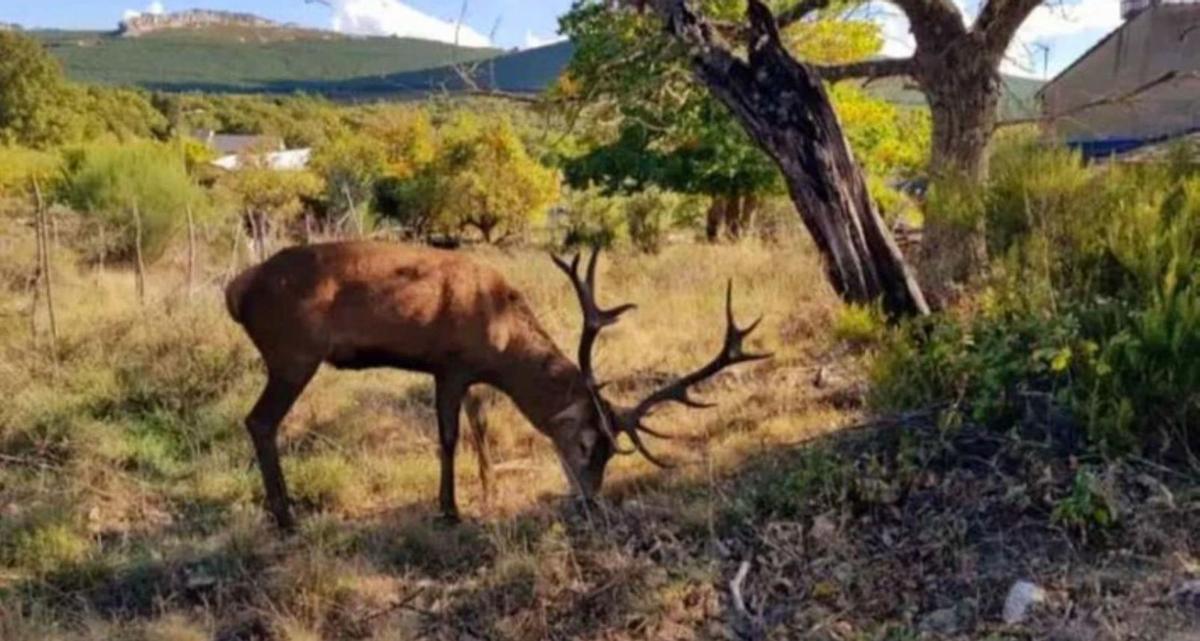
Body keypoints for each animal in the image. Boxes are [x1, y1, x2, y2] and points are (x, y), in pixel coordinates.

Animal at [225, 241, 768, 532]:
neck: (502, 339)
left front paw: (487, 489)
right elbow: (449, 437)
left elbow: (479, 427)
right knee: (258, 421)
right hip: (293, 354)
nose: (590, 500)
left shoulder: (470, 378)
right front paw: (450, 509)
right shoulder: (450, 365)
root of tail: (235, 290)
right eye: (585, 443)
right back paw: (286, 517)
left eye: (611, 454)